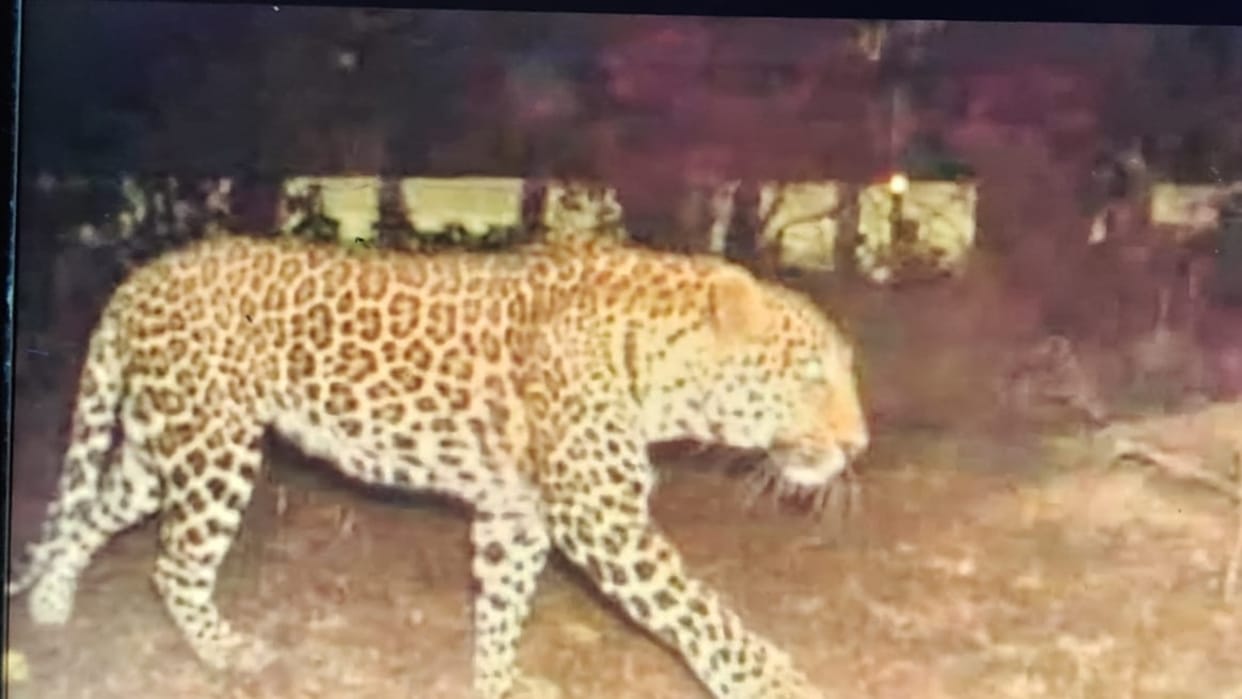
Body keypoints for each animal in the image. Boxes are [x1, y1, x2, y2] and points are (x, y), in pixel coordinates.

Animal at [8, 233, 869, 699]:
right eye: (810, 375)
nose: (858, 444)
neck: (661, 370)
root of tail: (139, 277)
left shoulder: (516, 510)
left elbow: (502, 602)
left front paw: (497, 680)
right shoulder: (603, 519)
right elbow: (704, 614)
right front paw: (773, 682)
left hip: (158, 446)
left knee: (88, 513)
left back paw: (51, 607)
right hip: (213, 446)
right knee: (175, 562)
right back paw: (225, 651)